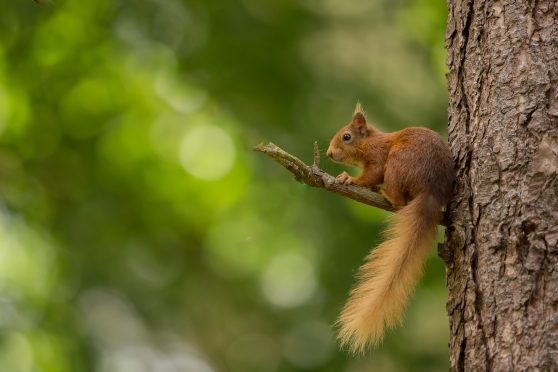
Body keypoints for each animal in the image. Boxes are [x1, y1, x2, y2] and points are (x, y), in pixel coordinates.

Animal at [328, 103, 456, 354]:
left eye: (346, 137)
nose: (328, 153)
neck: (372, 140)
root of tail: (432, 191)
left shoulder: (378, 157)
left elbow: (371, 175)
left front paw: (350, 179)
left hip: (397, 164)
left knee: (399, 200)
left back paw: (386, 194)